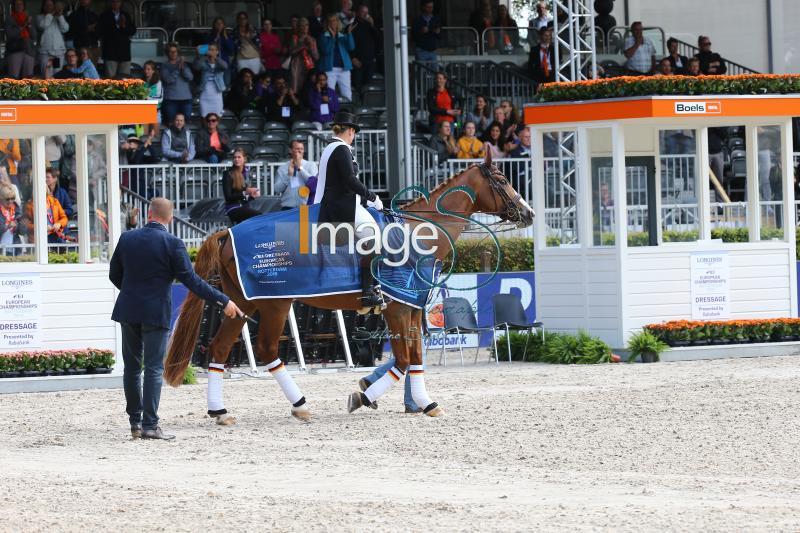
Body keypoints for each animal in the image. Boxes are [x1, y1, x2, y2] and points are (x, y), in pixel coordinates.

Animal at [163, 152, 536, 422]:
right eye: (502, 179)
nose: (529, 213)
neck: (417, 234)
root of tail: (226, 231)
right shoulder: (397, 308)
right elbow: (403, 359)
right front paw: (362, 397)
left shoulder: (412, 307)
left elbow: (415, 358)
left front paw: (426, 403)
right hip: (275, 303)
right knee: (267, 349)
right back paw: (299, 405)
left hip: (242, 303)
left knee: (219, 349)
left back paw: (220, 411)